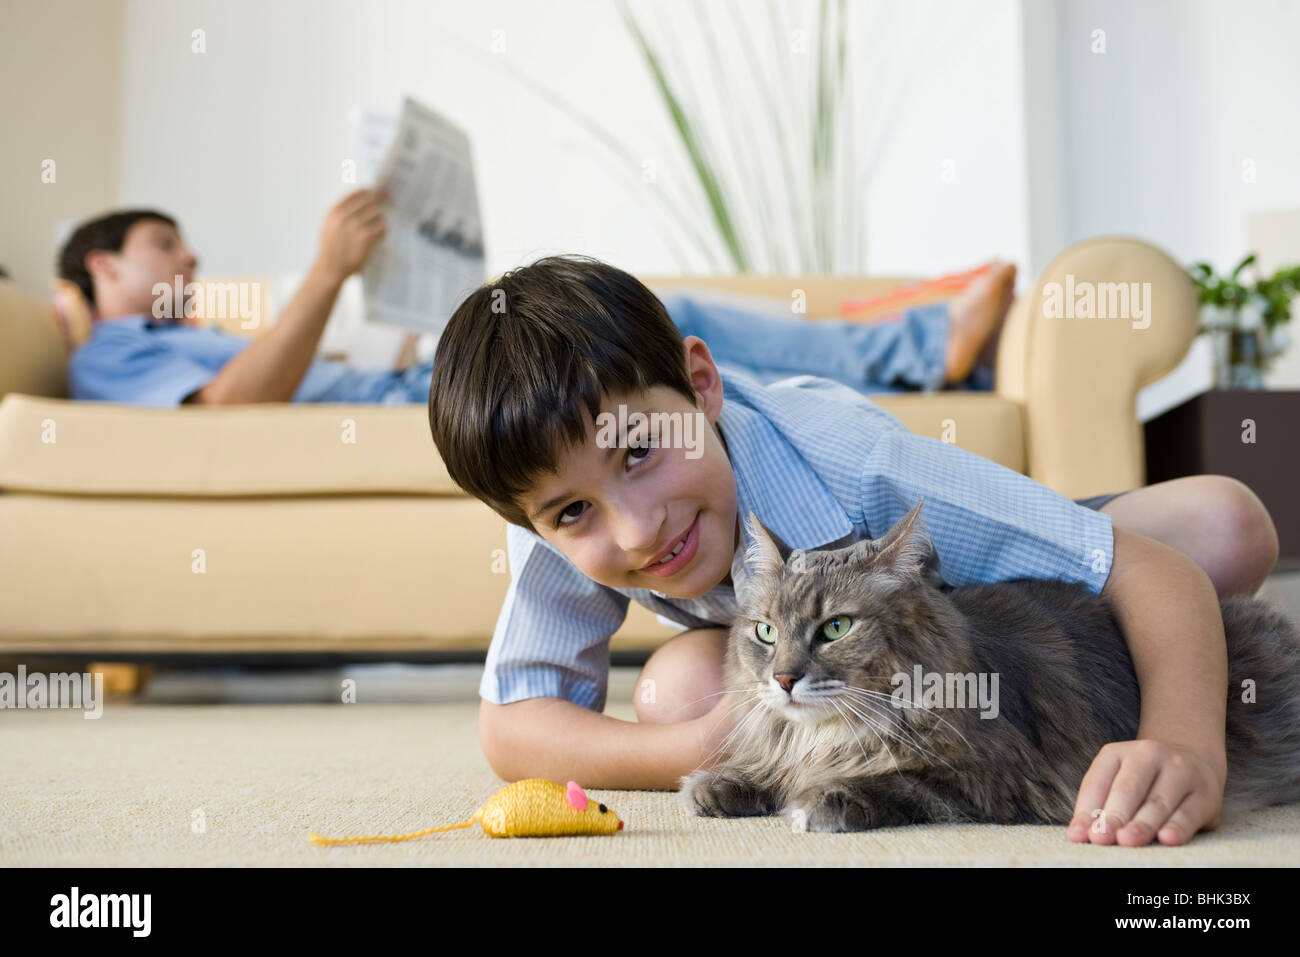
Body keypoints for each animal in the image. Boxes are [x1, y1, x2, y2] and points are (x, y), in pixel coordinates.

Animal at [676, 501, 1300, 832]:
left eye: (835, 628)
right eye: (766, 632)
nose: (783, 679)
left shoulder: (1004, 780)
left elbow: (898, 782)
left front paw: (821, 801)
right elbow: (768, 769)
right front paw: (721, 784)